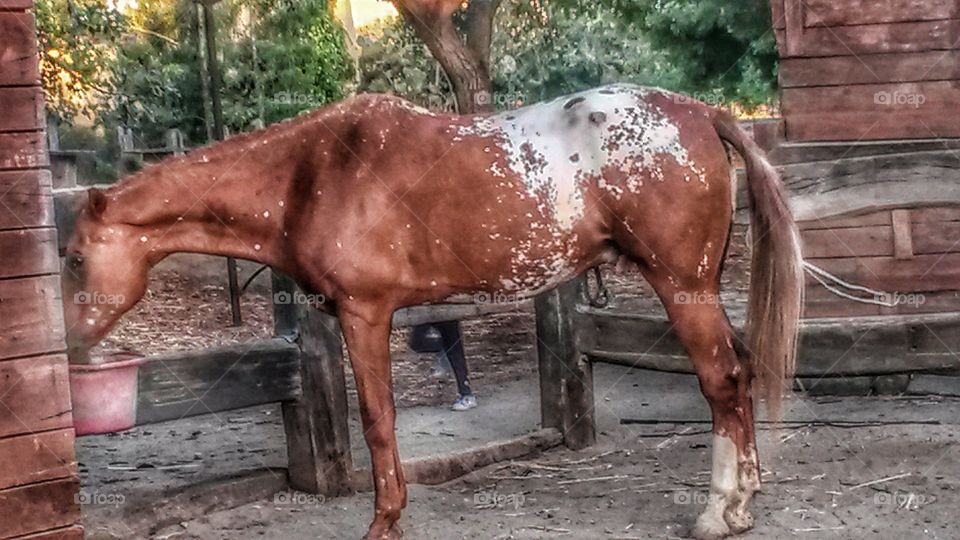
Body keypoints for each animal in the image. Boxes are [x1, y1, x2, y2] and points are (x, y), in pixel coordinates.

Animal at [62, 83, 803, 540]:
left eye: (71, 258)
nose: (67, 351)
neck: (310, 173)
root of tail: (701, 114)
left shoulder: (364, 314)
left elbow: (378, 421)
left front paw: (384, 520)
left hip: (682, 285)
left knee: (721, 382)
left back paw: (717, 512)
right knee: (740, 372)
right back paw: (745, 502)